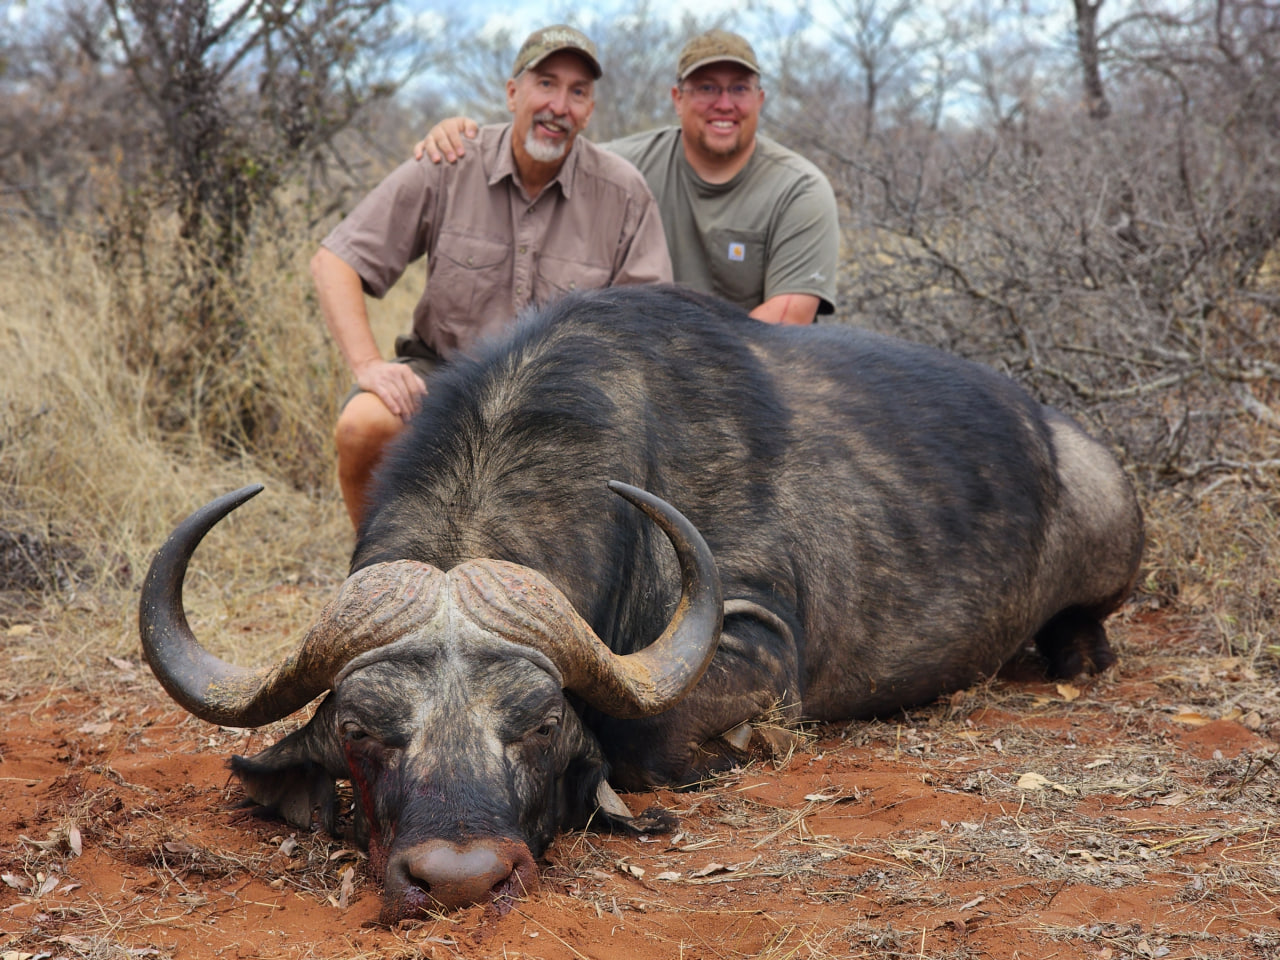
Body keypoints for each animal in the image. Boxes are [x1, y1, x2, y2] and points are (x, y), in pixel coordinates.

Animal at [137, 285, 1141, 926]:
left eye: (540, 726)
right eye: (360, 731)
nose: (460, 881)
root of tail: (1066, 437)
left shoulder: (757, 642)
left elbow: (645, 739)